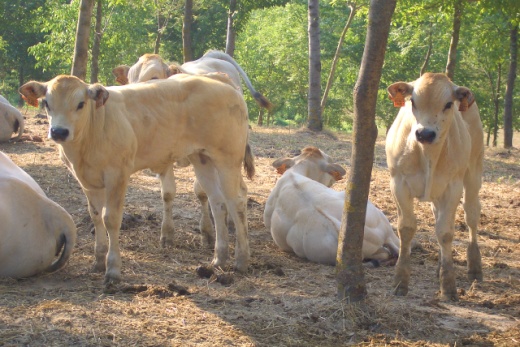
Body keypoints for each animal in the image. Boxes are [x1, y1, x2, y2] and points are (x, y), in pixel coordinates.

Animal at [21, 73, 253, 286]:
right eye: (46, 103)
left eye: (80, 103)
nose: (59, 132)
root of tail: (221, 82)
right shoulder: (86, 181)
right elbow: (95, 216)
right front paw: (98, 261)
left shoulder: (117, 174)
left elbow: (110, 218)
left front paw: (113, 269)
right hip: (202, 158)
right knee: (217, 203)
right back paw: (218, 259)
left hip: (228, 160)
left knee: (236, 202)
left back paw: (241, 260)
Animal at [386, 73, 484, 302]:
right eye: (412, 101)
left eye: (449, 104)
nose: (425, 133)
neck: (427, 154)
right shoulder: (398, 183)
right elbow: (406, 228)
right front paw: (400, 281)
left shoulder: (453, 187)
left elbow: (445, 232)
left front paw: (448, 287)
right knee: (438, 215)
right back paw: (440, 264)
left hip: (474, 171)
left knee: (471, 214)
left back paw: (474, 266)